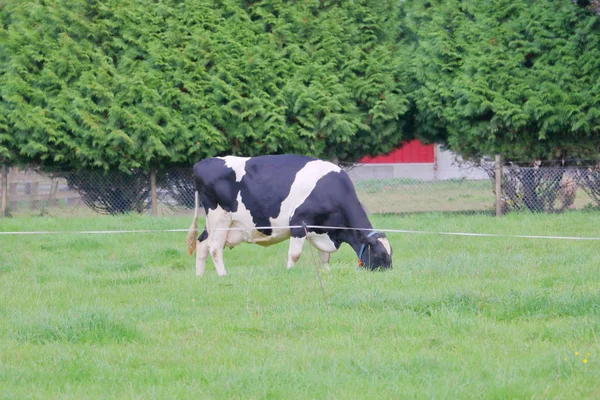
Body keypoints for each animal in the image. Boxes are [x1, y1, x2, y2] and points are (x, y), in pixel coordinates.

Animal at [188, 155, 394, 276]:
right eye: (380, 254)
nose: (388, 273)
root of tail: (201, 164)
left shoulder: (323, 229)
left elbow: (325, 256)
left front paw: (326, 272)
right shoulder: (298, 224)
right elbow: (295, 254)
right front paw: (289, 271)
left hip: (212, 222)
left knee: (202, 243)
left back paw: (199, 276)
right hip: (220, 217)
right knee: (214, 247)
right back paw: (223, 275)